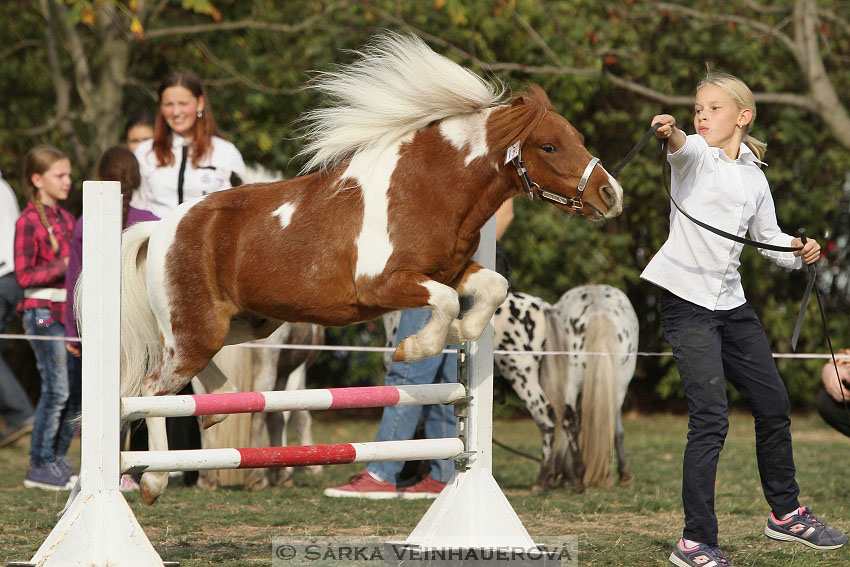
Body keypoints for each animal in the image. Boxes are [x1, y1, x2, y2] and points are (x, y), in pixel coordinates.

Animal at [119, 33, 624, 506]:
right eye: (550, 146)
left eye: (577, 138)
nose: (611, 195)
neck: (426, 188)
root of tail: (161, 229)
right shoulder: (384, 285)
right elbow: (443, 303)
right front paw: (415, 347)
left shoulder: (453, 269)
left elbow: (494, 287)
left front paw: (463, 332)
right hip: (197, 331)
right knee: (153, 390)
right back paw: (155, 481)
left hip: (247, 324)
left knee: (192, 378)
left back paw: (216, 408)